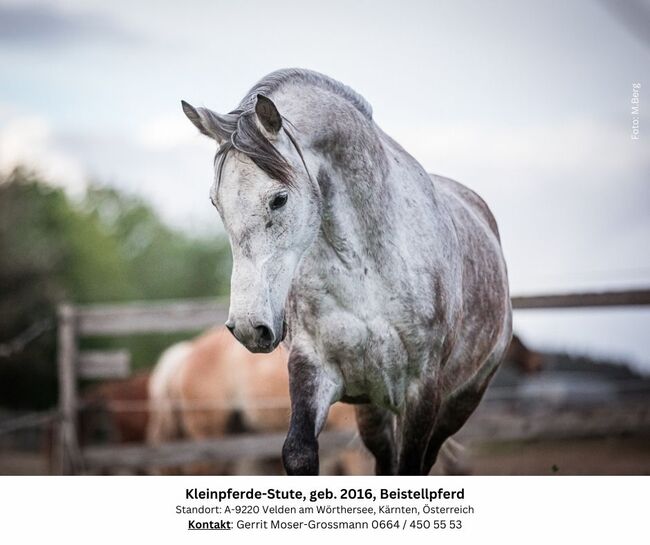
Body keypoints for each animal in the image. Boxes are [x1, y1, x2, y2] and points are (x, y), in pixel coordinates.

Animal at [180, 69, 508, 476]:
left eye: (279, 199)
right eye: (216, 202)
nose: (247, 327)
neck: (365, 266)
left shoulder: (423, 392)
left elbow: (411, 465)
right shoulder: (313, 368)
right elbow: (299, 453)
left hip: (459, 401)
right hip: (373, 407)